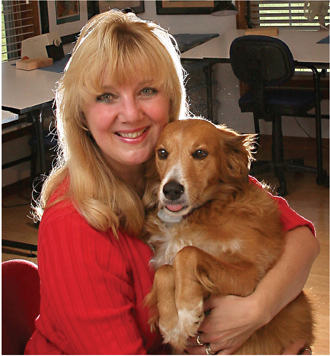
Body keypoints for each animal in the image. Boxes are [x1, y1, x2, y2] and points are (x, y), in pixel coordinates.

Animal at [144, 117, 314, 354]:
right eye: (162, 152)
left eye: (200, 153)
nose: (171, 190)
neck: (203, 212)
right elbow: (165, 270)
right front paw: (170, 323)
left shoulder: (249, 277)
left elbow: (187, 253)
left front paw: (186, 311)